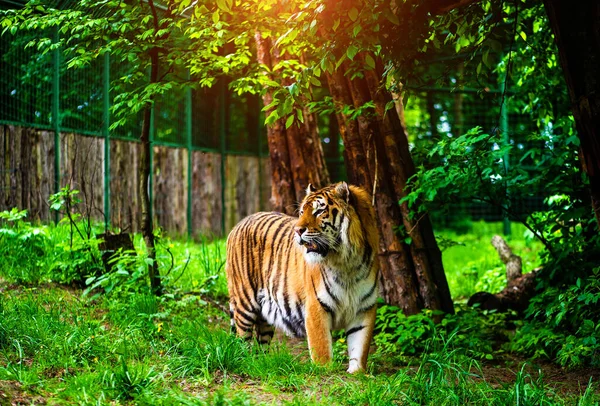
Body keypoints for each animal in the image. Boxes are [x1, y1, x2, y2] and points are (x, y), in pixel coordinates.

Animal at [225, 182, 380, 372]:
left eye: (319, 211)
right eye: (301, 212)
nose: (297, 230)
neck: (347, 263)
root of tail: (238, 224)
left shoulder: (364, 308)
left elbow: (360, 347)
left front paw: (356, 373)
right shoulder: (316, 307)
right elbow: (321, 349)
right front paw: (324, 370)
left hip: (265, 315)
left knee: (261, 342)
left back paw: (259, 364)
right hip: (244, 302)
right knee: (242, 339)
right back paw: (245, 363)